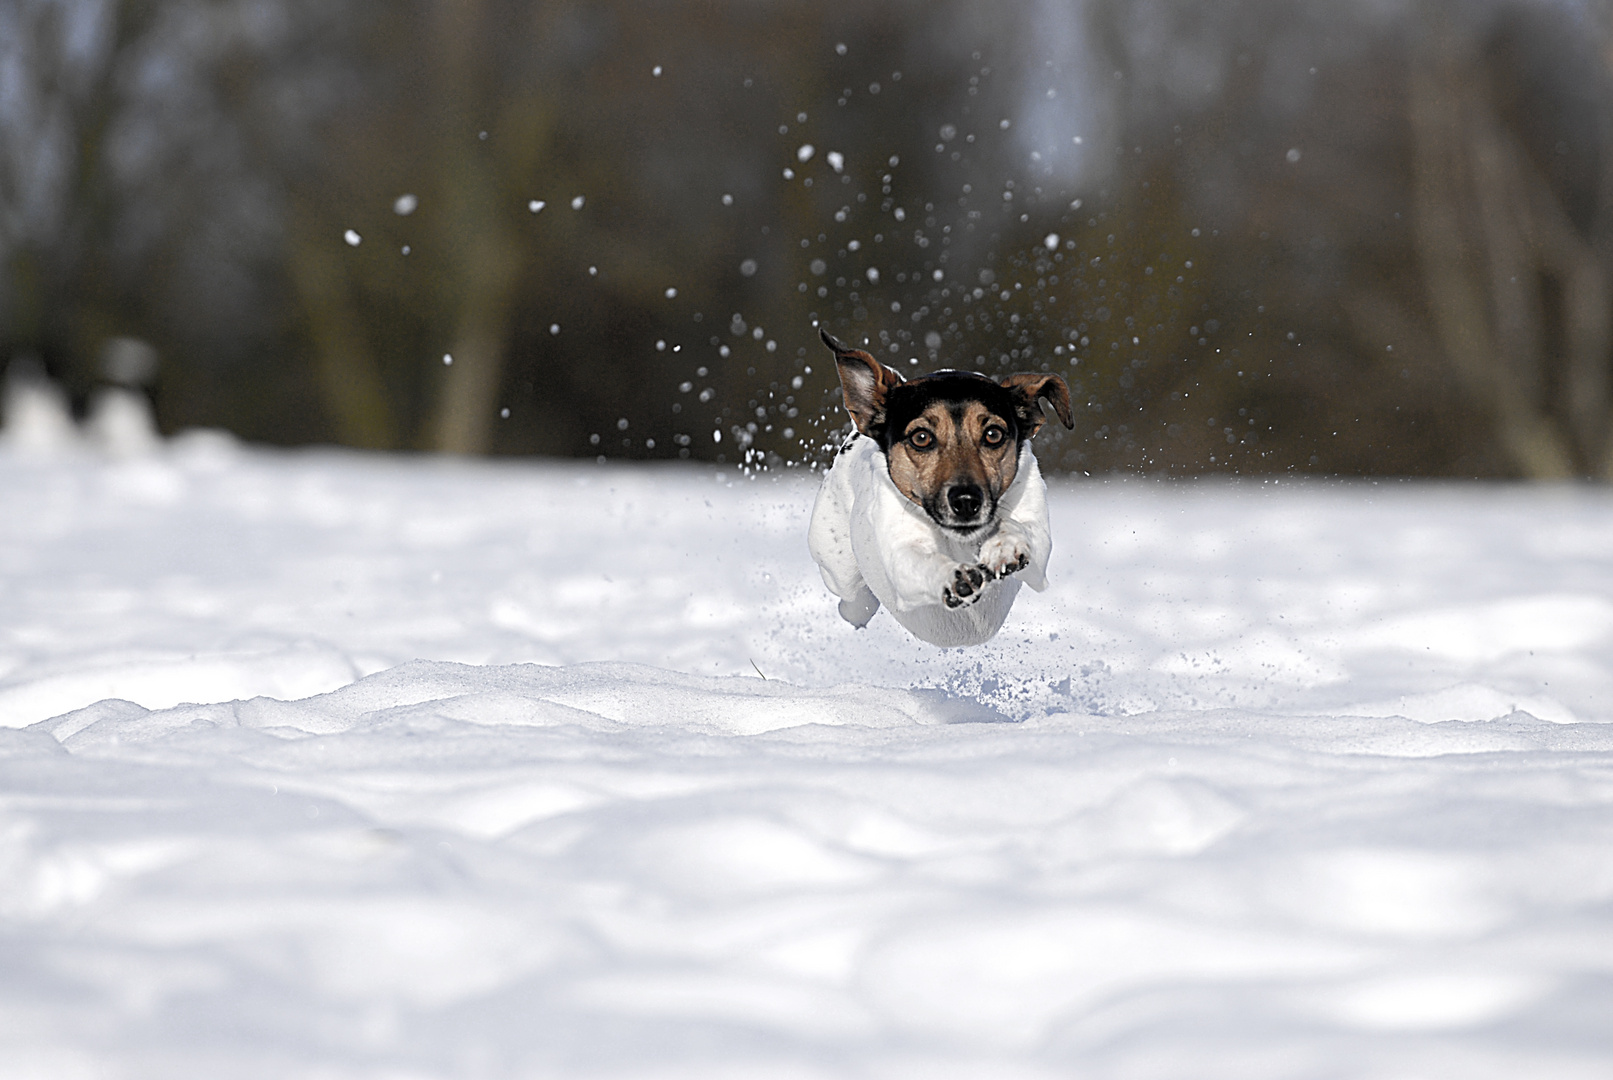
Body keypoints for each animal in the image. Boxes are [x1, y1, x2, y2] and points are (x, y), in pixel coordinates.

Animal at [803, 330, 1071, 648]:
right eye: (921, 437)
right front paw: (953, 577)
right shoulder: (900, 552)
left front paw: (1005, 545)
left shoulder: (1038, 552)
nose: (966, 501)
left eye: (993, 434)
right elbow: (918, 561)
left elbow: (1025, 531)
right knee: (855, 603)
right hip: (841, 569)